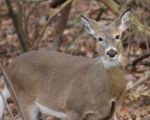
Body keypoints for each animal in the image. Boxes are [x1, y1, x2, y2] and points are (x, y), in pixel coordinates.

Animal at [0, 9, 131, 120]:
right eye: (99, 38)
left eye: (118, 36)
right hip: (24, 99)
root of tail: (7, 70)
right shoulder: (72, 108)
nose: (111, 52)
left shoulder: (111, 112)